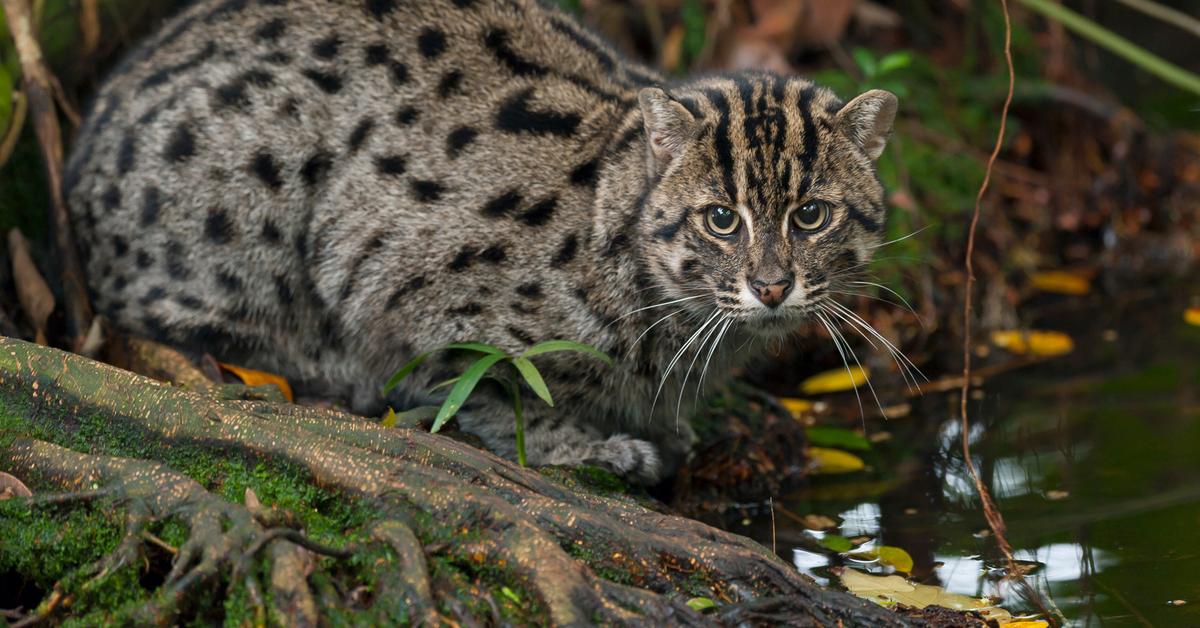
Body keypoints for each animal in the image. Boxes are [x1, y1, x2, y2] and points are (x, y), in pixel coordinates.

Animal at [63, 0, 892, 487]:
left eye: (812, 215)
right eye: (721, 218)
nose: (773, 286)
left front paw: (659, 422)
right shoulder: (394, 281)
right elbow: (492, 388)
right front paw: (585, 445)